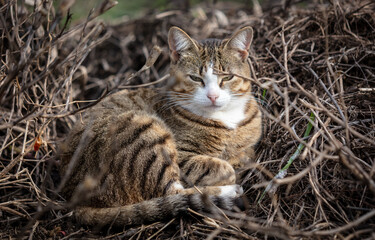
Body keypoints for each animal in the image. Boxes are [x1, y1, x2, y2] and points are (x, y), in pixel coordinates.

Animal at [59, 26, 264, 227]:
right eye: (195, 78)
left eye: (228, 77)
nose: (213, 96)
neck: (225, 118)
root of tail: (73, 199)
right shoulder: (183, 157)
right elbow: (223, 168)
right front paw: (228, 173)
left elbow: (245, 155)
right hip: (144, 133)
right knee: (174, 194)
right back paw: (229, 192)